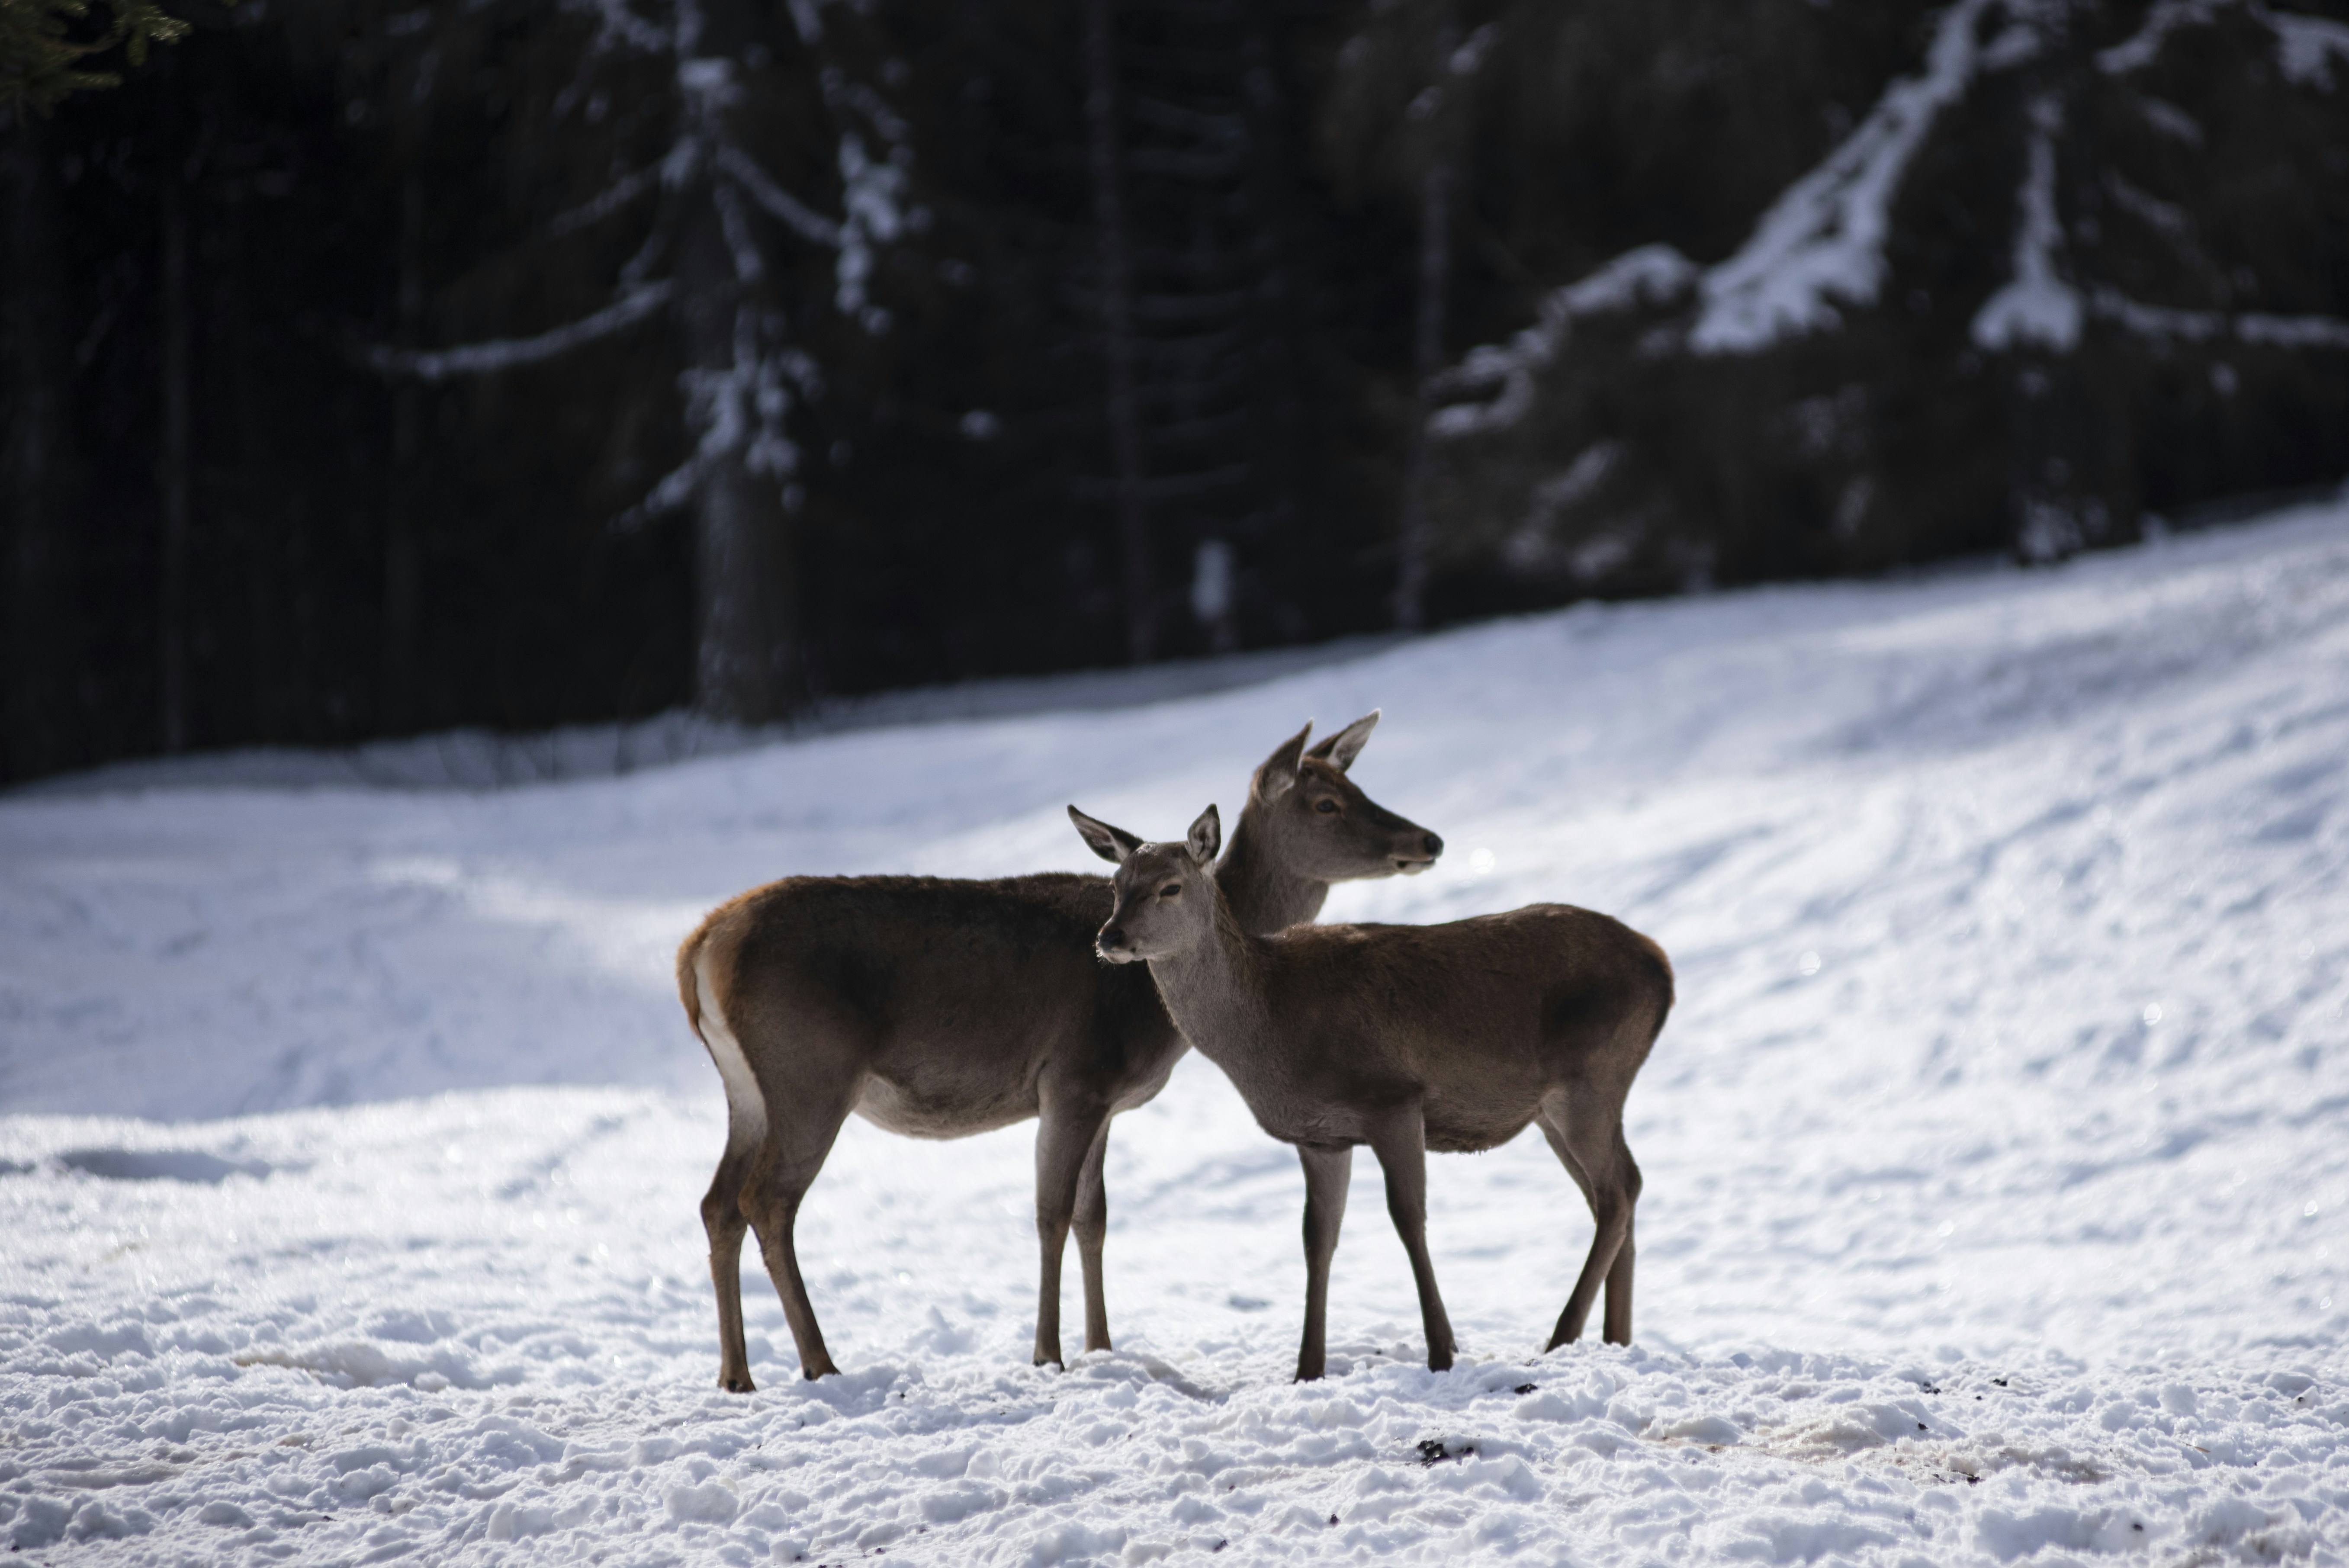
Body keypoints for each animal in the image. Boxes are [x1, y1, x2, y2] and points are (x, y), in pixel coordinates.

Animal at [676, 714, 1442, 1388]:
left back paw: (737, 1375)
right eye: (1326, 803)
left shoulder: (1105, 1097)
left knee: (717, 1203)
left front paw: (1102, 1345)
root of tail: (699, 949)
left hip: (746, 1088)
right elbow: (1049, 1212)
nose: (1429, 840)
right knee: (767, 1199)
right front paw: (1049, 1354)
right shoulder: (1073, 1075)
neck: (1155, 1018)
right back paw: (819, 1363)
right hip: (809, 1074)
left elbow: (1091, 1214)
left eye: (1355, 786)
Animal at [1067, 801, 1671, 1381]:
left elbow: (1407, 1218)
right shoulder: (1320, 1138)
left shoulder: (1394, 1099)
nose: (1109, 938)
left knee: (1619, 1190)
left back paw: (1561, 1337)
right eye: (1115, 886)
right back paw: (1613, 1341)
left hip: (1592, 1078)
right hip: (1554, 1107)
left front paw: (1442, 1351)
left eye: (1170, 886)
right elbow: (1317, 1239)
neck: (1272, 1029)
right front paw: (1307, 1370)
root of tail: (1662, 967)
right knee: (1615, 1191)